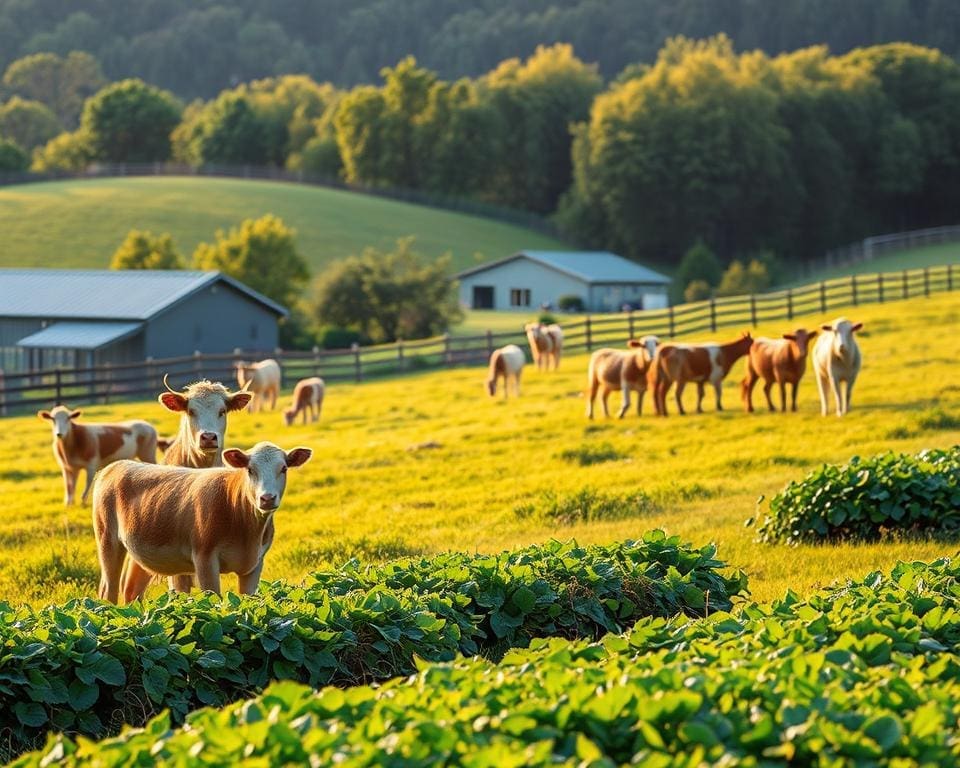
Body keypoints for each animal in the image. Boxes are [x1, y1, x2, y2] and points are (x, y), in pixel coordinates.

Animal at [94, 440, 314, 604]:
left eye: (284, 468)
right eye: (250, 470)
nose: (267, 498)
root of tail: (116, 466)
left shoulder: (255, 564)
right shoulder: (204, 558)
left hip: (143, 548)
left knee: (132, 590)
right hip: (107, 539)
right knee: (109, 590)